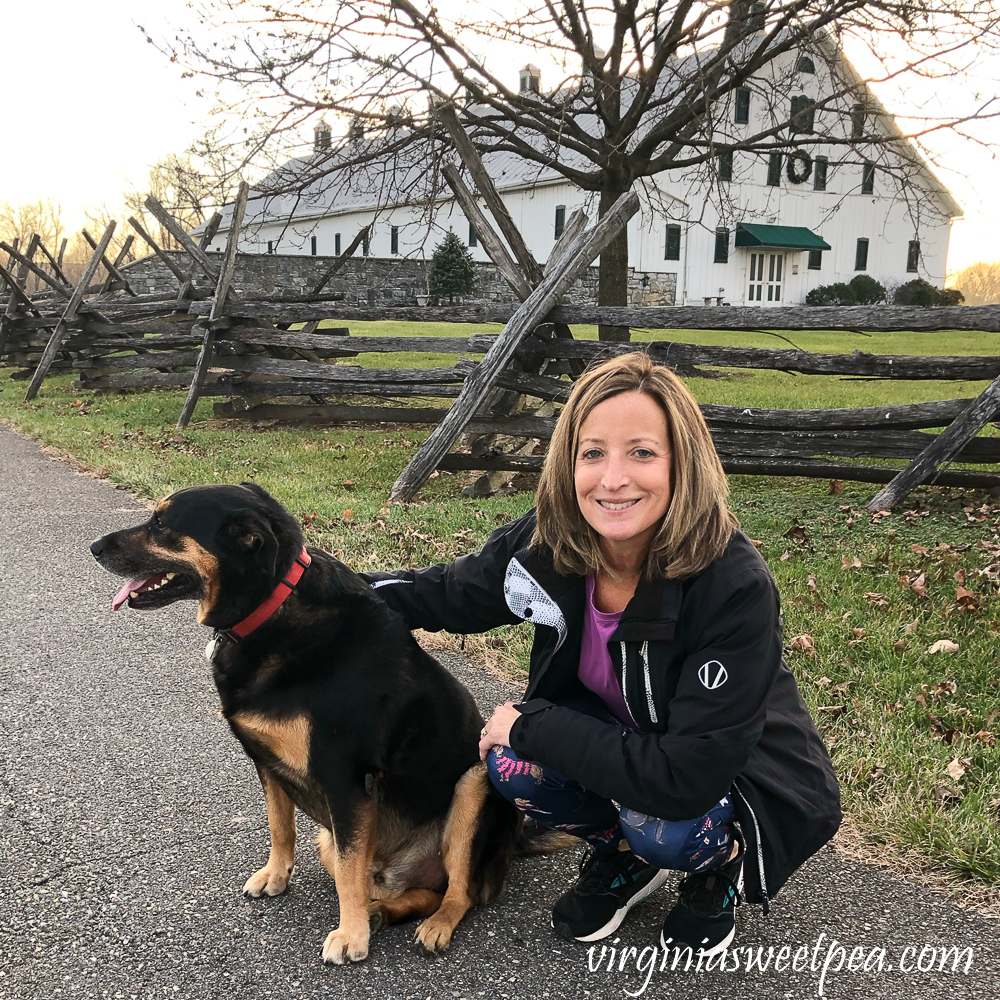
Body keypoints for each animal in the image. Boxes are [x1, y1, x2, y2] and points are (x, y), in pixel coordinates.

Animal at [91, 480, 524, 964]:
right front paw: (276, 876)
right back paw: (381, 912)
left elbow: (350, 874)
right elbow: (282, 828)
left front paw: (351, 936)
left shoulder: (346, 781)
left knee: (457, 892)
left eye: (162, 523)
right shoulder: (267, 764)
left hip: (474, 783)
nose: (94, 547)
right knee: (410, 889)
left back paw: (433, 925)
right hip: (328, 840)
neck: (270, 609)